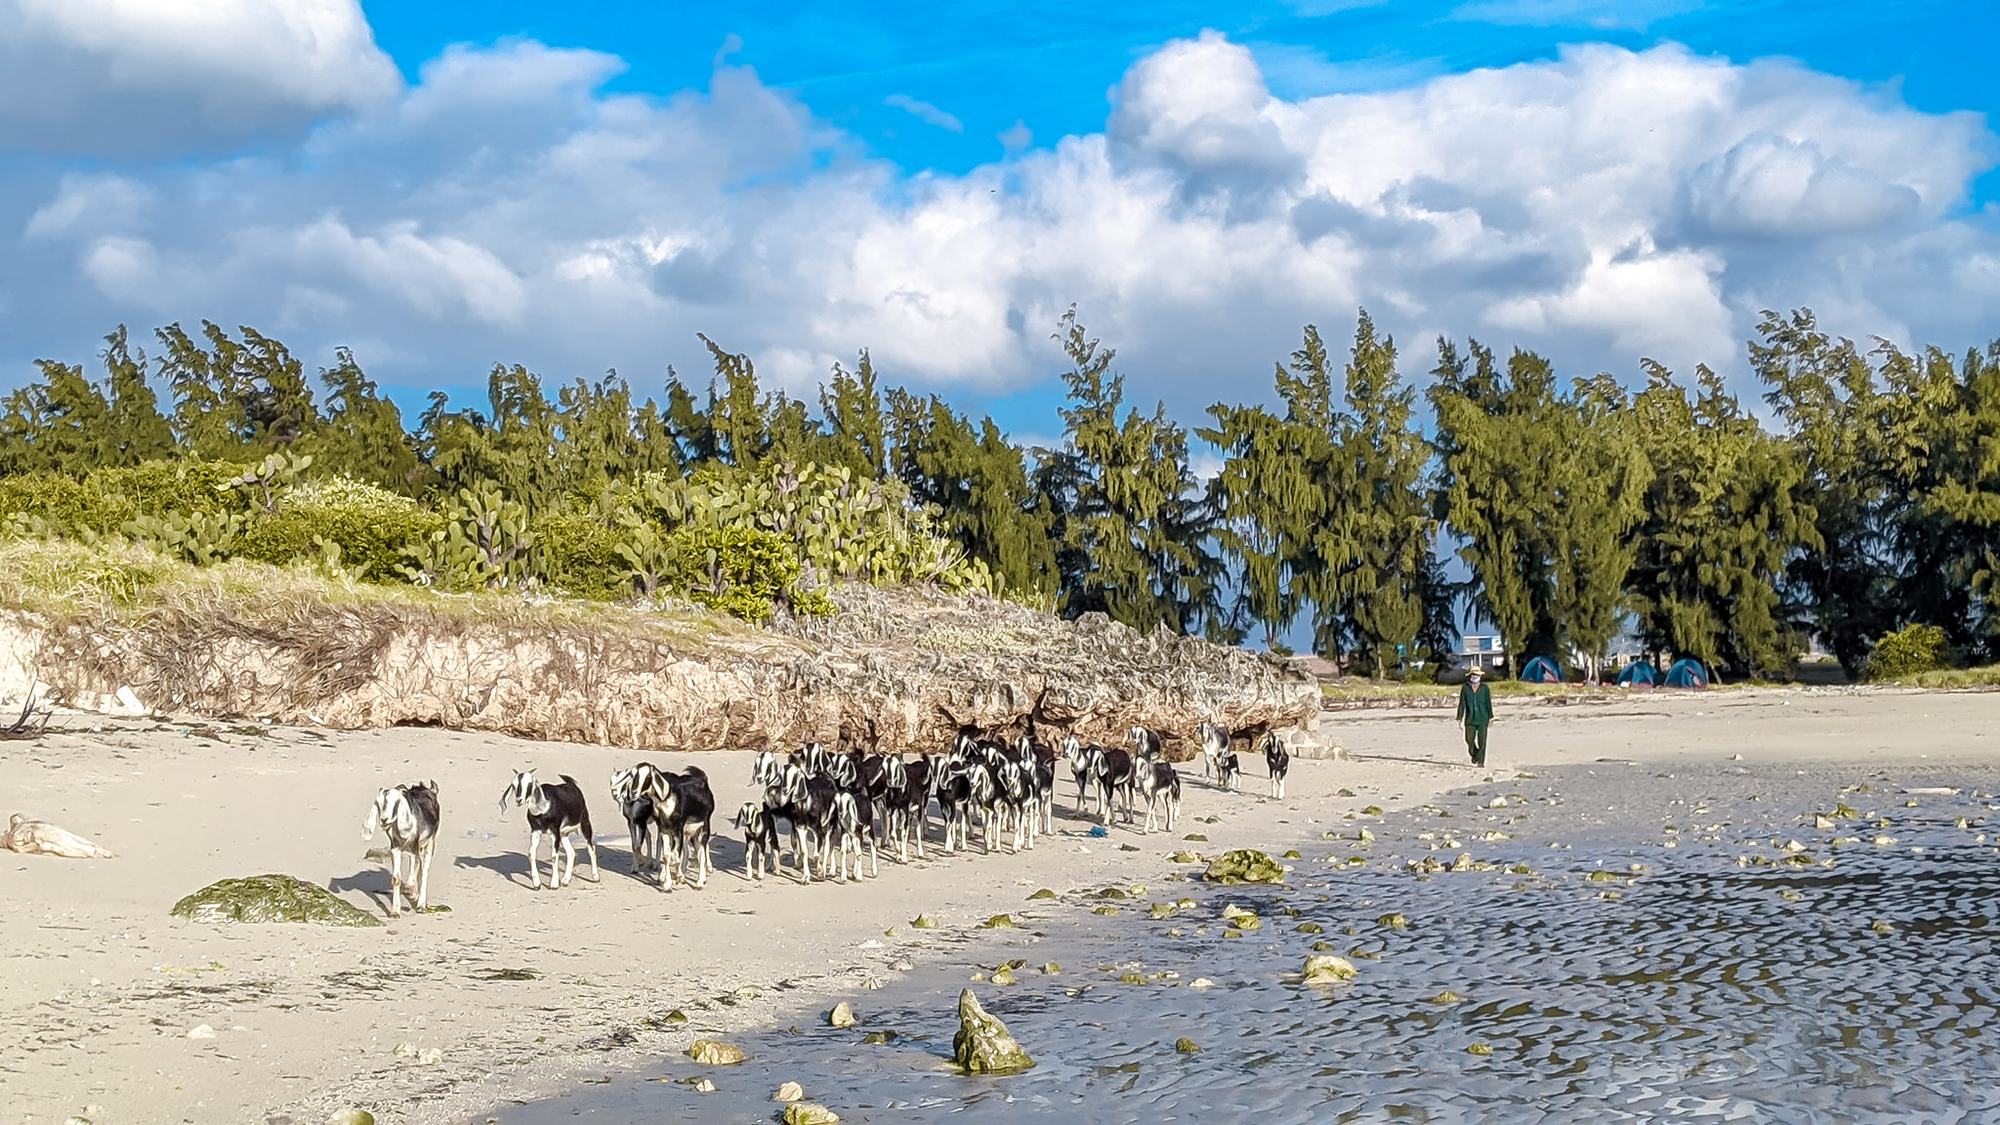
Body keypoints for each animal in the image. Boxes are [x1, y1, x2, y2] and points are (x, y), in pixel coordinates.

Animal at [364, 776, 438, 916]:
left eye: (396, 804)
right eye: (380, 804)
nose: (384, 820)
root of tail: (428, 789)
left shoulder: (414, 850)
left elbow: (411, 879)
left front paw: (411, 895)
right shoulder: (396, 849)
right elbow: (396, 878)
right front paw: (395, 912)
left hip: (430, 842)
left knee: (425, 870)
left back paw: (421, 905)